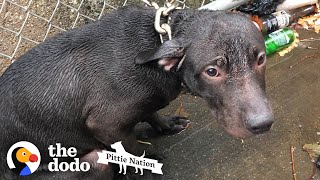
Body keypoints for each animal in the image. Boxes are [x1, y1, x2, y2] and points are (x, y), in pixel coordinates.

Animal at [1, 5, 274, 179]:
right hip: (94, 161)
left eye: (261, 59)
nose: (263, 124)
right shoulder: (105, 125)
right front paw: (142, 166)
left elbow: (151, 113)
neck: (158, 43)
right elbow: (130, 148)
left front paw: (165, 125)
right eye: (212, 71)